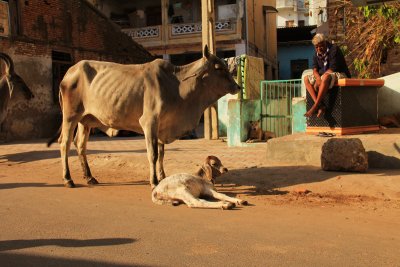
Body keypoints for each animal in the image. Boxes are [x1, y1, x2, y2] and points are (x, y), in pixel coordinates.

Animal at [47, 46, 241, 188]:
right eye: (218, 68)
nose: (238, 86)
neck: (177, 85)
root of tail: (69, 71)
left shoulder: (162, 126)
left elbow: (161, 155)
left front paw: (162, 177)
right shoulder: (150, 123)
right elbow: (153, 155)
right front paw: (154, 181)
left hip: (85, 120)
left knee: (80, 145)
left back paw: (89, 177)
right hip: (70, 116)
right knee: (64, 143)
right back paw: (68, 179)